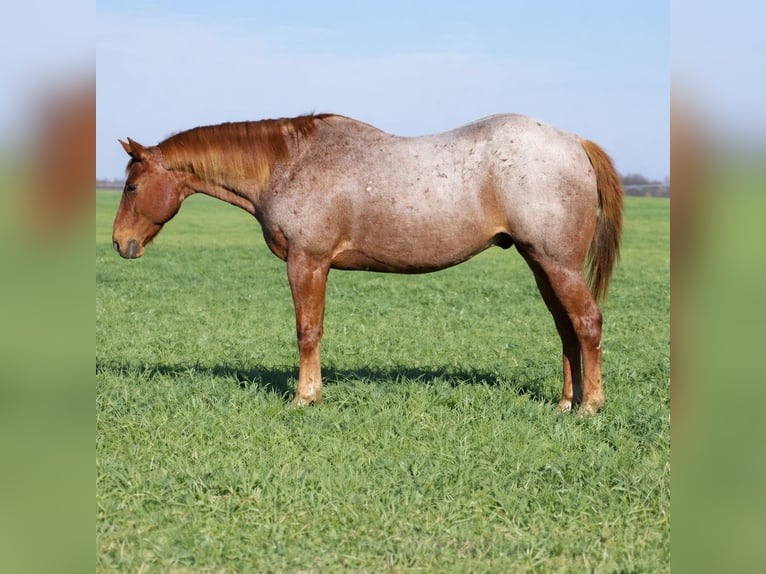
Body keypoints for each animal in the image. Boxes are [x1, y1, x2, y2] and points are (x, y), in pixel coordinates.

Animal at [112, 113, 622, 415]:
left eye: (132, 186)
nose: (120, 243)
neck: (290, 164)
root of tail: (575, 143)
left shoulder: (307, 262)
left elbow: (308, 331)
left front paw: (304, 398)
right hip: (541, 263)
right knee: (566, 328)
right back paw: (565, 403)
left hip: (558, 264)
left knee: (588, 323)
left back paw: (590, 407)